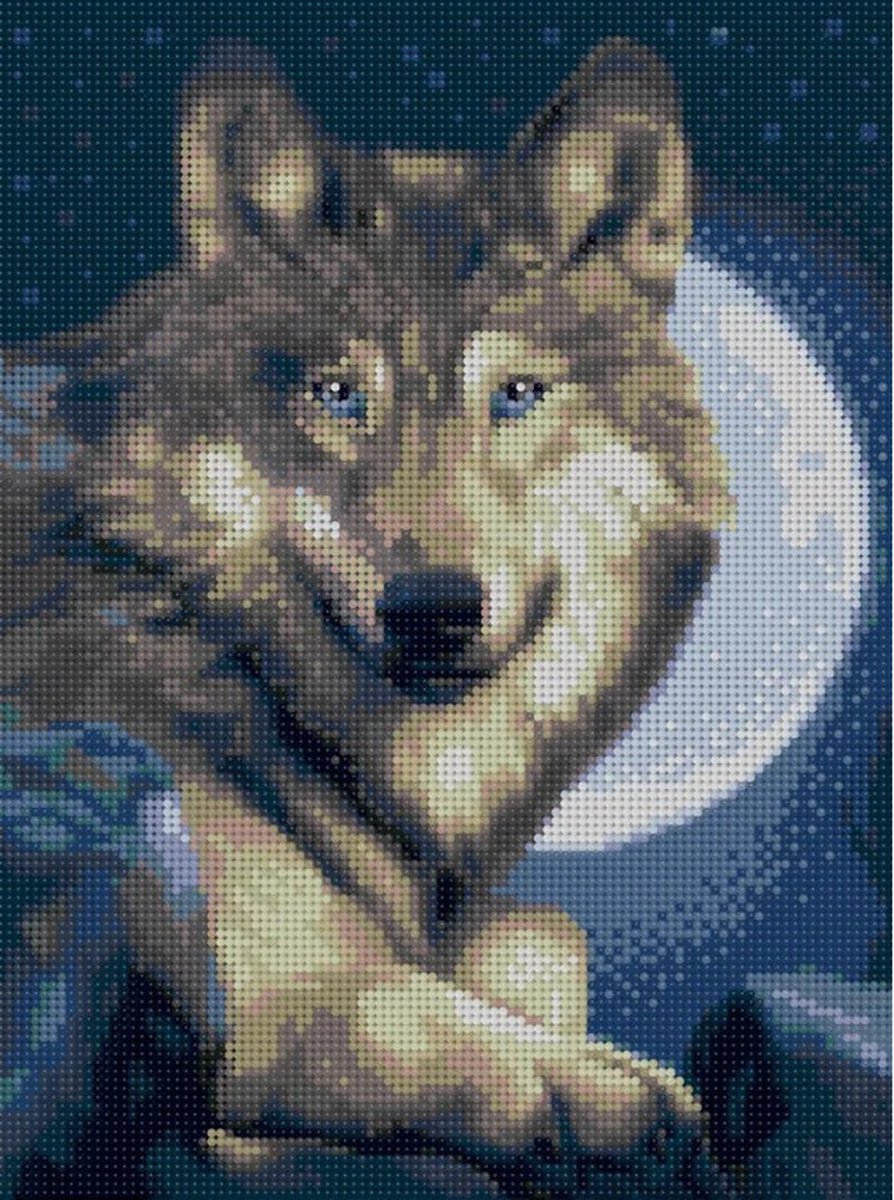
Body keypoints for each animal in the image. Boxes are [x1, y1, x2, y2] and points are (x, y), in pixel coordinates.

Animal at [0, 38, 731, 1195]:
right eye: (338, 394)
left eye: (517, 394)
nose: (431, 608)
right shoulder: (245, 989)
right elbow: (392, 1004)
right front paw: (591, 1091)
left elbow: (541, 935)